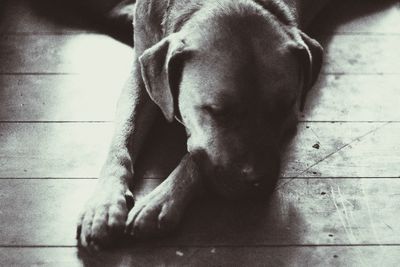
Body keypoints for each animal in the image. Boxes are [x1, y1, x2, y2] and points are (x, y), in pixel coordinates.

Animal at [76, 0, 328, 251]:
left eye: (282, 110)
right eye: (218, 111)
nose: (259, 182)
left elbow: (195, 157)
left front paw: (161, 200)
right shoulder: (141, 73)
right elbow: (123, 135)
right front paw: (104, 204)